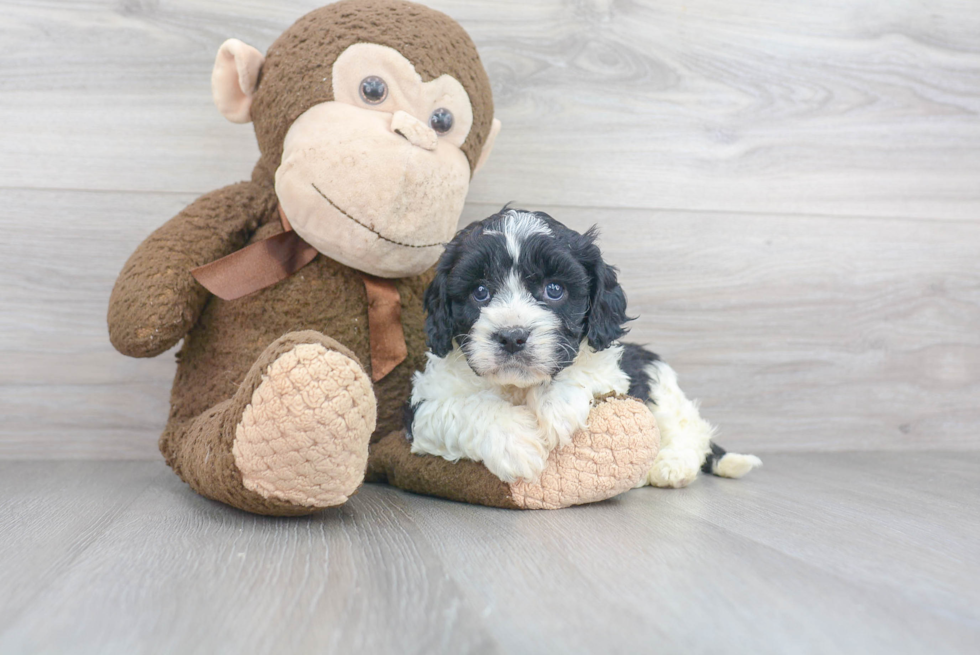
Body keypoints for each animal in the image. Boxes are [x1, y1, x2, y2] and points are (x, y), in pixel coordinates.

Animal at [402, 208, 760, 490]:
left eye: (554, 289)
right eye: (480, 291)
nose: (513, 337)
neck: (518, 386)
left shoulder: (614, 376)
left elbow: (584, 371)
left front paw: (554, 406)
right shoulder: (421, 410)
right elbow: (463, 407)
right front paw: (514, 443)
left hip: (663, 390)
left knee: (692, 431)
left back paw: (671, 466)